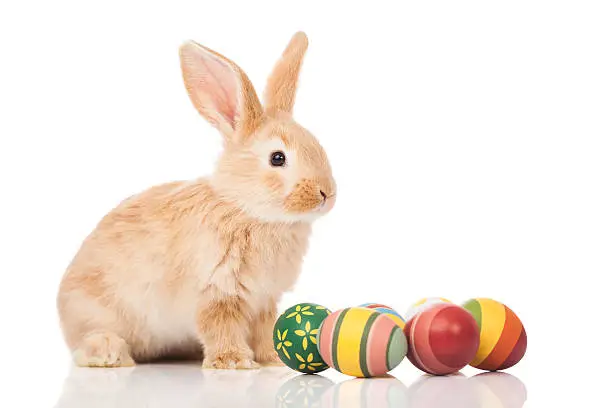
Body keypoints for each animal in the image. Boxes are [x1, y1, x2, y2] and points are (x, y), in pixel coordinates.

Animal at [56, 31, 334, 368]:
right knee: (88, 341)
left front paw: (272, 360)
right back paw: (109, 353)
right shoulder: (217, 292)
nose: (326, 193)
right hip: (94, 313)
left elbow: (264, 329)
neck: (246, 209)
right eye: (277, 158)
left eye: (317, 145)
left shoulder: (264, 299)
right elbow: (220, 327)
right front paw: (234, 362)